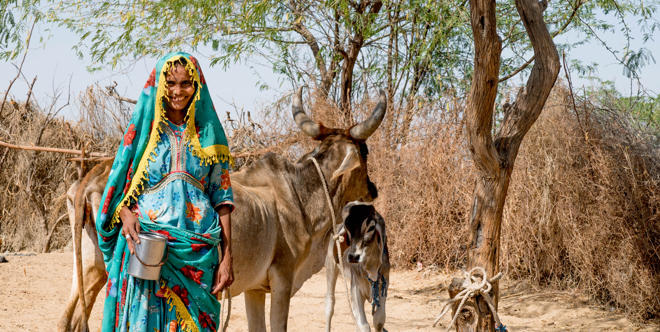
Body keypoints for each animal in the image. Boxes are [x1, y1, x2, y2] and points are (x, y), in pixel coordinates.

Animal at [326, 201, 390, 332]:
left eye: (371, 228)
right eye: (347, 227)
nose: (353, 257)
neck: (371, 267)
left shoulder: (384, 283)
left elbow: (379, 321)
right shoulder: (356, 289)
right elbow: (364, 325)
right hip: (330, 266)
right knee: (330, 305)